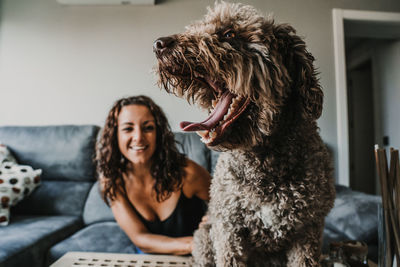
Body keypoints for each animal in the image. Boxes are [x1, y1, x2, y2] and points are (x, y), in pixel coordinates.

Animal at [155, 1, 336, 266]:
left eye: (230, 34)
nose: (159, 44)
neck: (264, 162)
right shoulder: (228, 229)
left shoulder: (307, 232)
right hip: (205, 236)